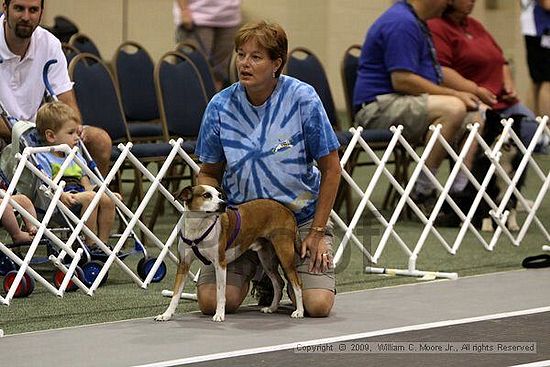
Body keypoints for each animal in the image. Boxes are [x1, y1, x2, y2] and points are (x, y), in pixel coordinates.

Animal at [154, 184, 306, 322]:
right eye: (206, 195)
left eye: (219, 195)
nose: (223, 204)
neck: (198, 227)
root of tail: (285, 209)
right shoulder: (183, 265)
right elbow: (176, 294)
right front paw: (166, 314)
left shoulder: (220, 264)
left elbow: (220, 293)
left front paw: (219, 314)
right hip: (266, 259)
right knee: (278, 282)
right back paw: (272, 308)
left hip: (284, 255)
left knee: (297, 283)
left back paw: (299, 311)